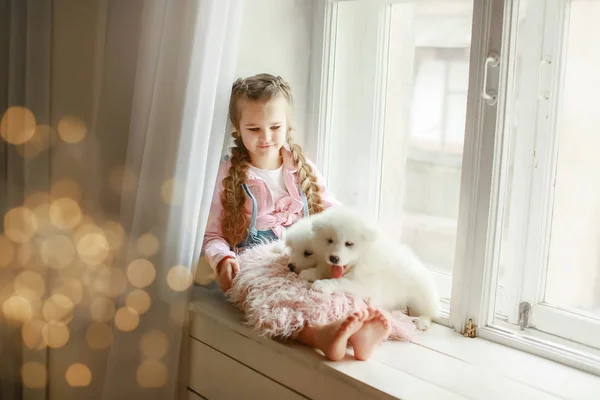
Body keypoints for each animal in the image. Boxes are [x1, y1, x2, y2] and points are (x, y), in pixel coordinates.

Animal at [308, 205, 438, 330]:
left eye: (349, 244)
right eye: (329, 240)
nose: (333, 258)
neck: (359, 261)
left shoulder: (365, 284)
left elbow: (341, 282)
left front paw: (323, 284)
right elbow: (322, 269)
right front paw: (309, 273)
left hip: (420, 295)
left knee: (429, 313)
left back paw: (422, 321)